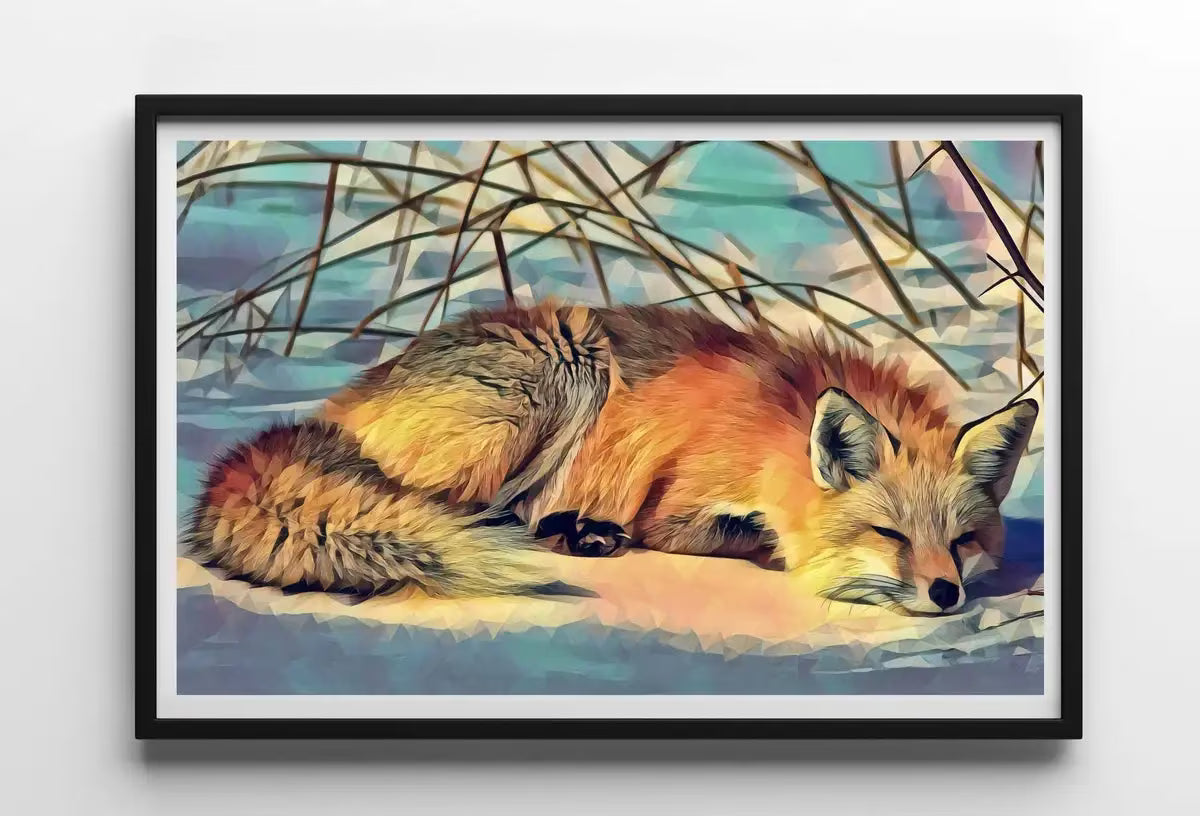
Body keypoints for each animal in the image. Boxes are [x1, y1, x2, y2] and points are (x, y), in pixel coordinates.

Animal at [185, 301, 1038, 616]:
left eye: (963, 541)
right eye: (889, 535)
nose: (946, 595)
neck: (777, 435)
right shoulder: (676, 503)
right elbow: (747, 540)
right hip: (562, 375)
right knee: (453, 510)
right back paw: (566, 533)